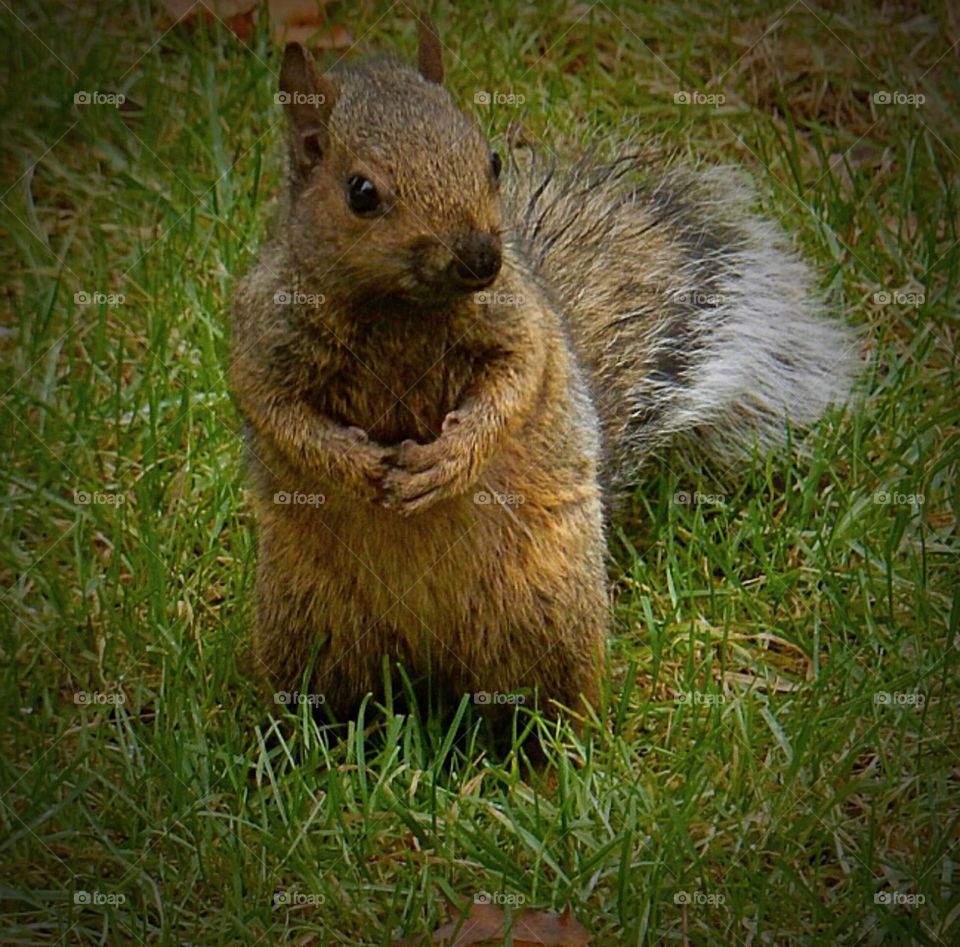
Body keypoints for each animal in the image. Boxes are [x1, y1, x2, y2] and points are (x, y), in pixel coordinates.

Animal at [229, 18, 860, 740]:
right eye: (361, 192)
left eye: (491, 159)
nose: (480, 258)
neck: (399, 311)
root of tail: (424, 658)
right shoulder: (262, 333)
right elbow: (275, 409)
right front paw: (354, 464)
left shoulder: (521, 324)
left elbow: (516, 386)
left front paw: (448, 461)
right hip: (309, 620)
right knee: (335, 701)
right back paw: (308, 744)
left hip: (541, 607)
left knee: (542, 705)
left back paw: (548, 755)